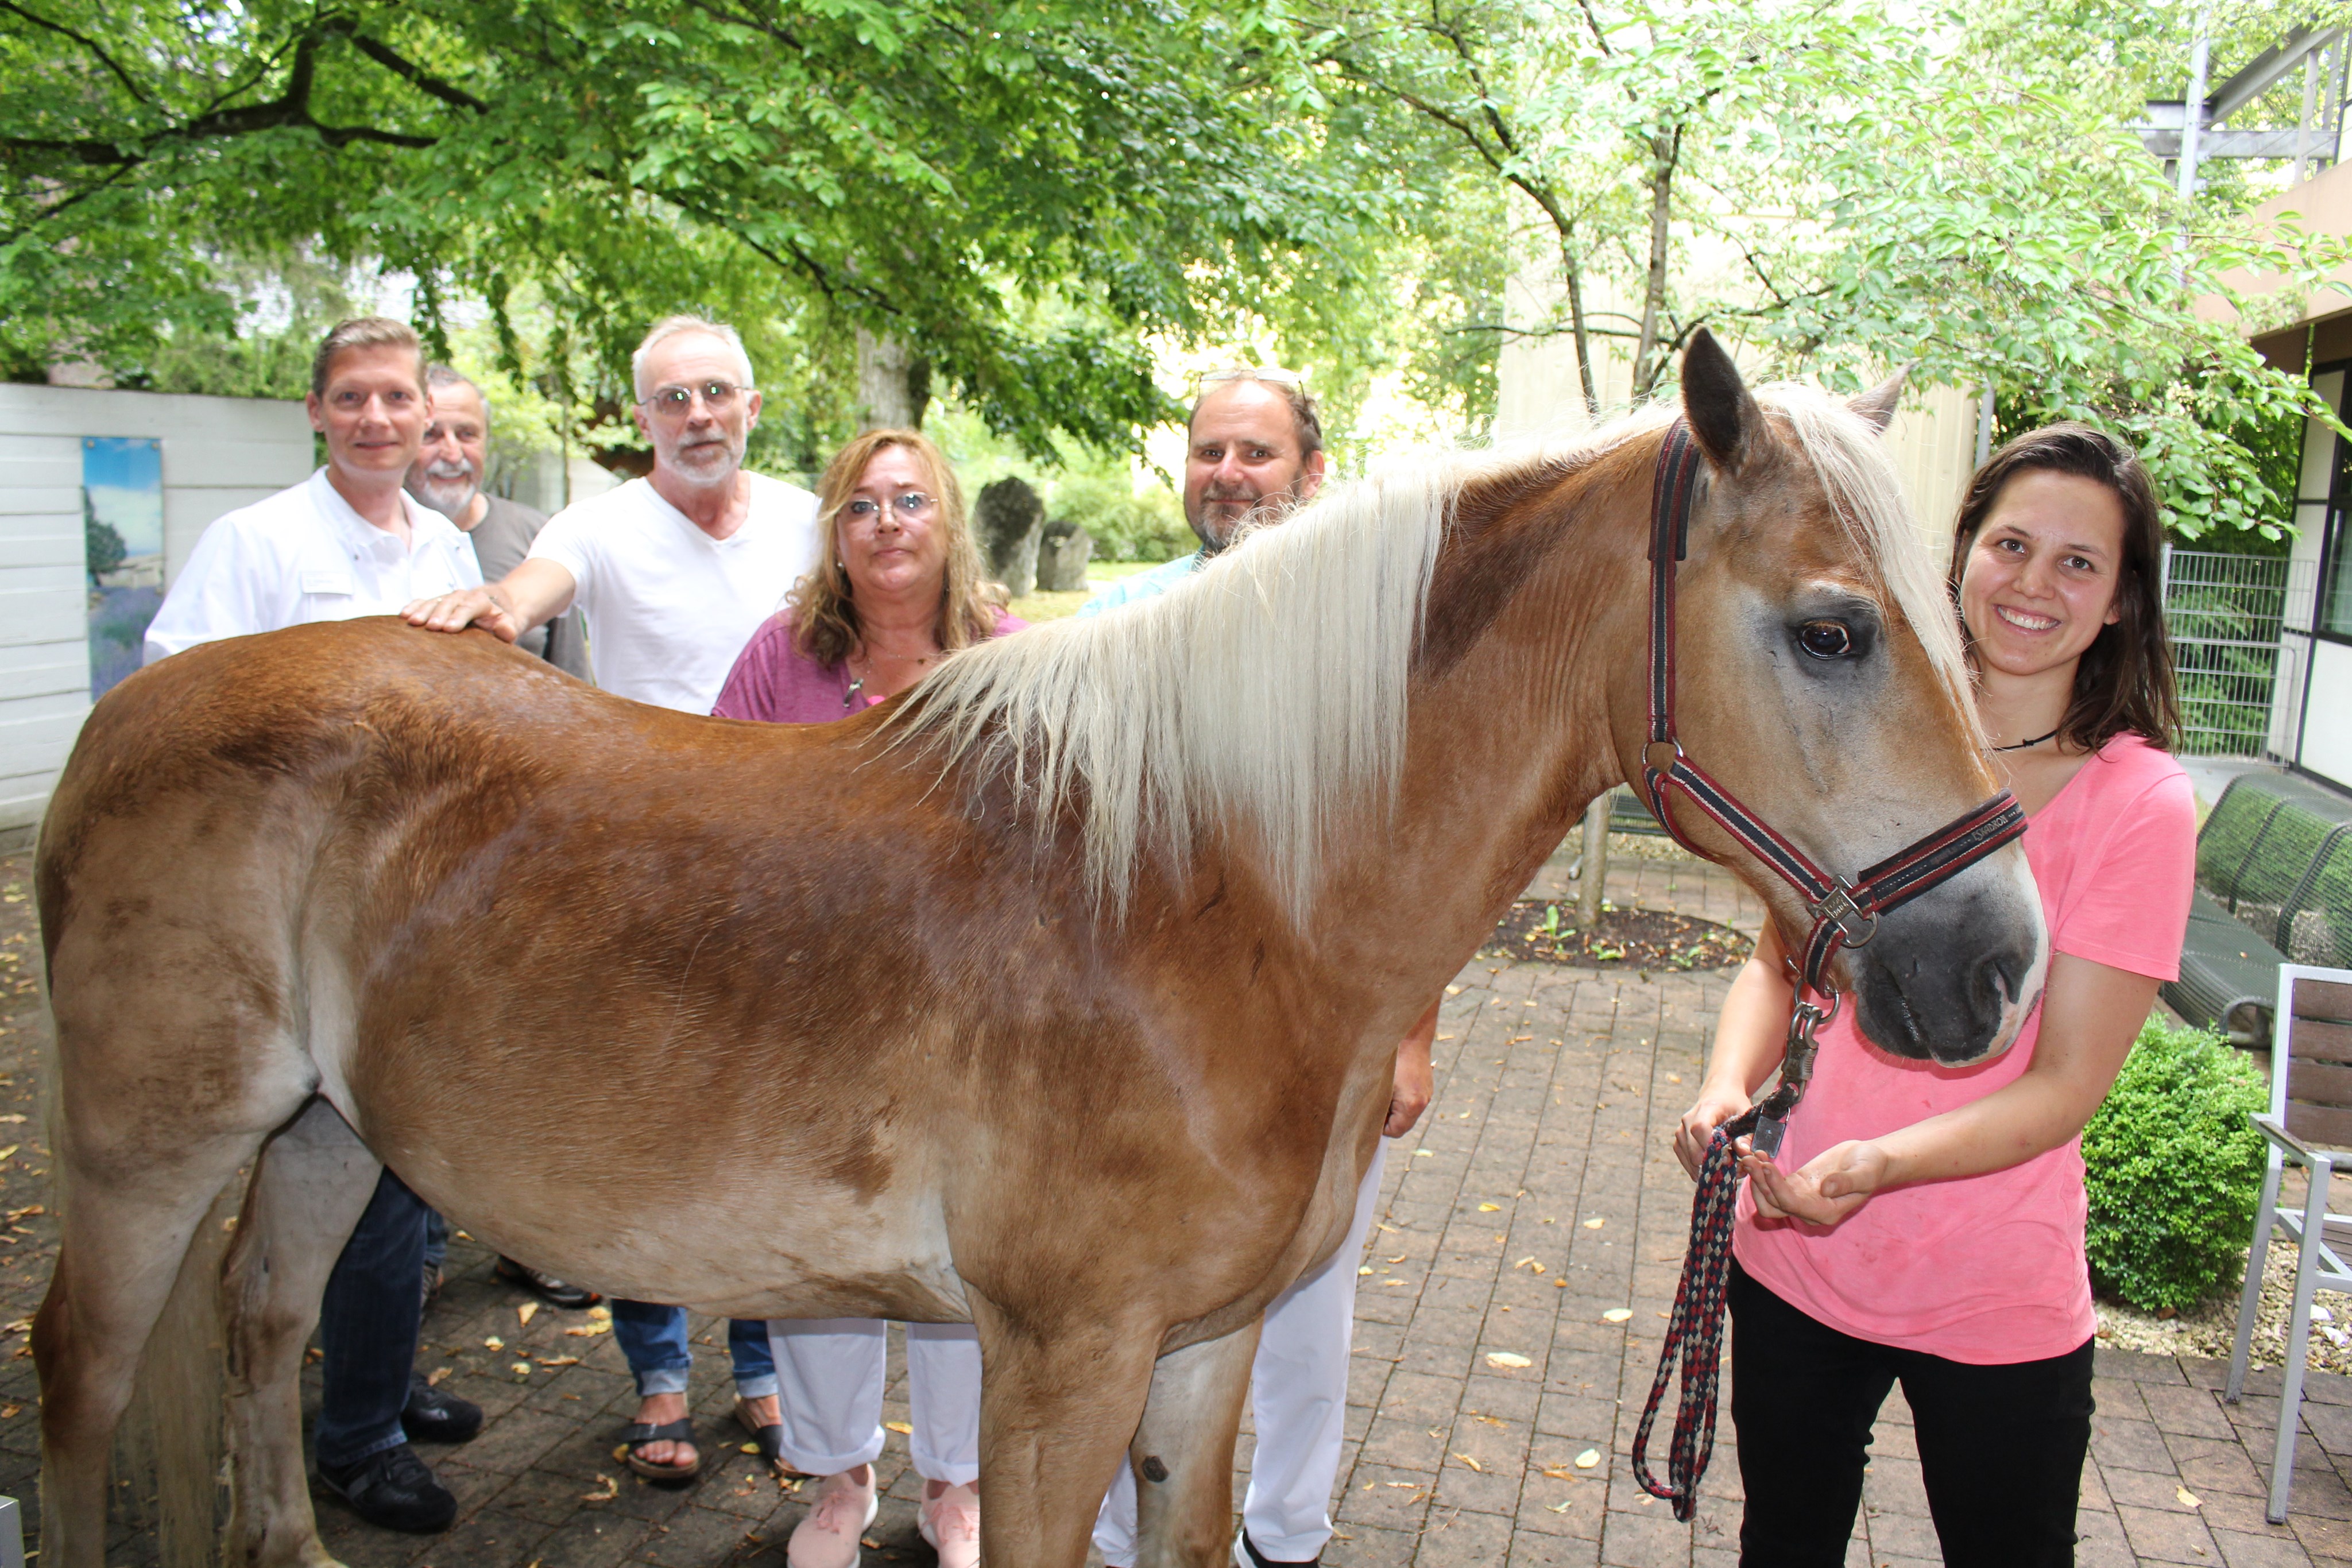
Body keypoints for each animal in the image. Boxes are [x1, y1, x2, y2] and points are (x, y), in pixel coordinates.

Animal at [32, 334, 2041, 1568]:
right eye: (1835, 628)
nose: (1998, 966)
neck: (1206, 894)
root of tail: (141, 703)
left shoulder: (1202, 1354)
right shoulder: (1060, 1364)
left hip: (320, 1131)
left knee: (264, 1315)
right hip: (152, 1150)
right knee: (82, 1368)